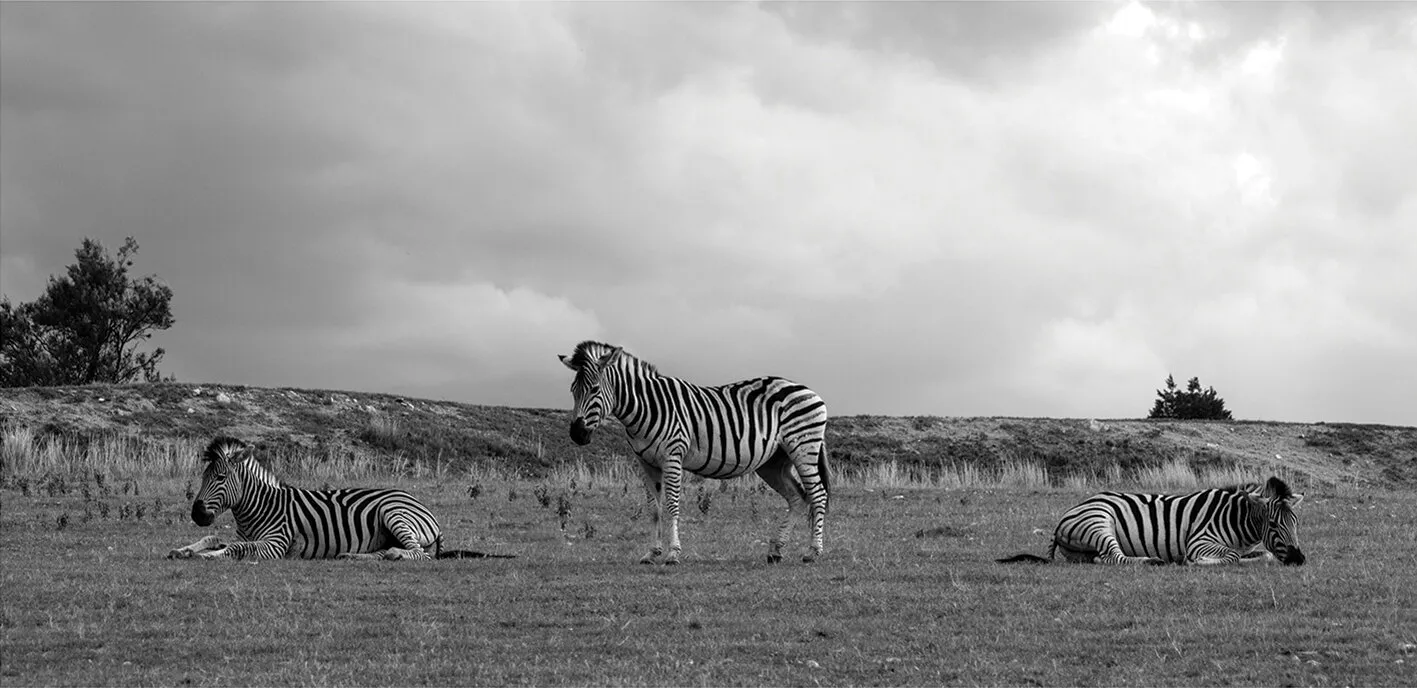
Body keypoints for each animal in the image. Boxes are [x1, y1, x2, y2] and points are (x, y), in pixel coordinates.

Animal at [168, 436, 510, 561]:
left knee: (417, 554)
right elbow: (213, 537)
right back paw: (355, 555)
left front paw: (207, 556)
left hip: (393, 513)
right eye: (202, 478)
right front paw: (183, 549)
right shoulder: (241, 533)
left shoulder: (277, 543)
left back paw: (392, 556)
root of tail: (424, 507)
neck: (257, 507)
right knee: (391, 551)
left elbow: (236, 548)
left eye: (220, 479)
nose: (196, 514)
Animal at [558, 340, 830, 565]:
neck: (646, 406)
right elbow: (654, 508)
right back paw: (776, 550)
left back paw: (812, 552)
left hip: (803, 448)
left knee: (817, 494)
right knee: (797, 497)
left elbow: (671, 505)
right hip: (773, 462)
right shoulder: (646, 463)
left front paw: (672, 554)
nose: (576, 434)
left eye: (594, 389)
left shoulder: (673, 456)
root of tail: (806, 389)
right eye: (573, 390)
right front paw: (651, 553)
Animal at [997, 476, 1305, 566]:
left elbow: (1263, 553)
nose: (1299, 559)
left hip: (1081, 549)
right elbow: (1229, 557)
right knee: (1113, 557)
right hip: (1099, 520)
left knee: (1099, 558)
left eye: (1296, 523)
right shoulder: (1199, 541)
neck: (1235, 519)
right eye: (1274, 525)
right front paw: (1191, 563)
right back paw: (1154, 560)